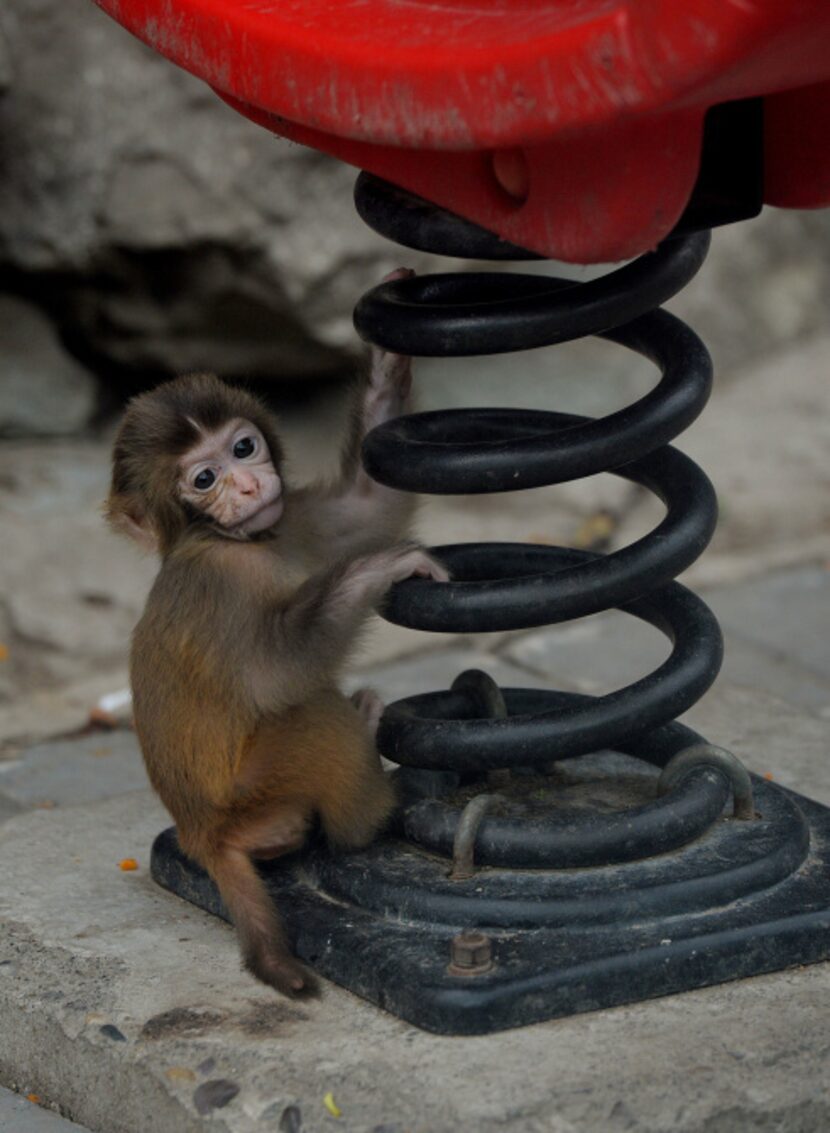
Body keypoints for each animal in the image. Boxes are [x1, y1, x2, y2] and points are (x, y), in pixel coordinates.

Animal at [109, 280, 450, 992]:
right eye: (203, 479)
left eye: (242, 449)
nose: (244, 484)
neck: (237, 541)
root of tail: (203, 836)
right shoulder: (221, 584)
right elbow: (275, 673)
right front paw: (380, 568)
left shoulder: (289, 520)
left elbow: (365, 507)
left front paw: (386, 364)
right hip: (251, 794)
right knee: (313, 715)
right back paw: (366, 803)